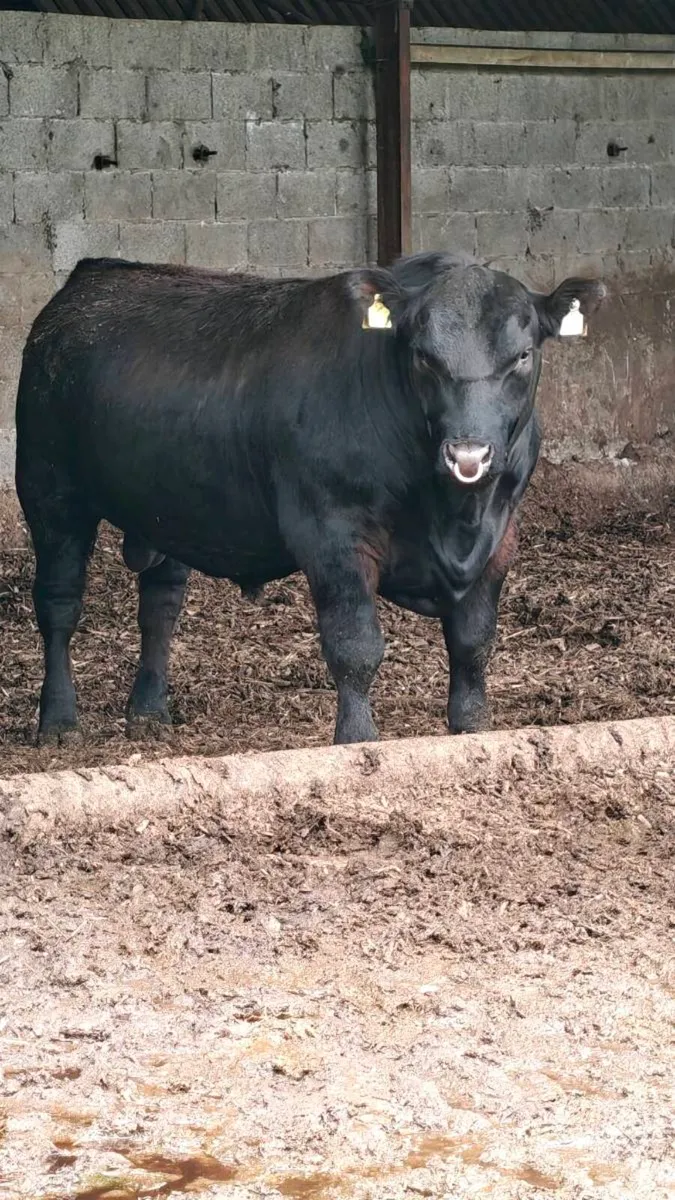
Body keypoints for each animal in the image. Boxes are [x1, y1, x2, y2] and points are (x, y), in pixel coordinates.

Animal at [15, 252, 605, 747]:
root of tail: (92, 275)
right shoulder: (333, 536)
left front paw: (471, 728)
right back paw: (58, 720)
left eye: (522, 356)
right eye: (423, 357)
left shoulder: (501, 538)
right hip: (49, 490)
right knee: (59, 604)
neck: (454, 517)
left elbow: (473, 641)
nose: (469, 453)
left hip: (167, 511)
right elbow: (355, 645)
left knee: (160, 605)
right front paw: (357, 739)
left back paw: (149, 708)